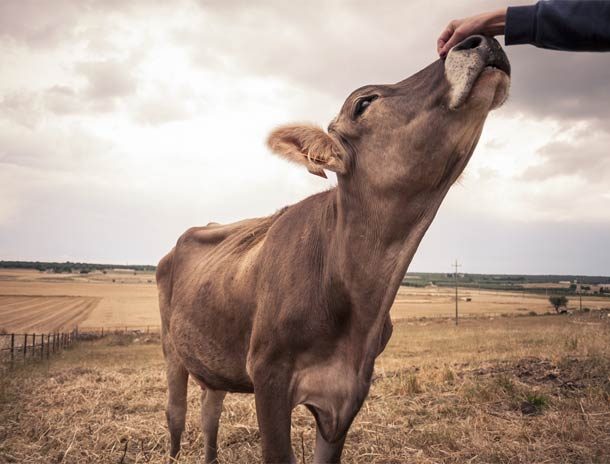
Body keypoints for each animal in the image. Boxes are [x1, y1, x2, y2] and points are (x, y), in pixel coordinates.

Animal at [157, 34, 508, 462]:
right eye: (363, 102)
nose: (481, 38)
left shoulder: (348, 391)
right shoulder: (268, 377)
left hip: (213, 357)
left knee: (211, 411)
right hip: (171, 348)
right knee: (176, 413)